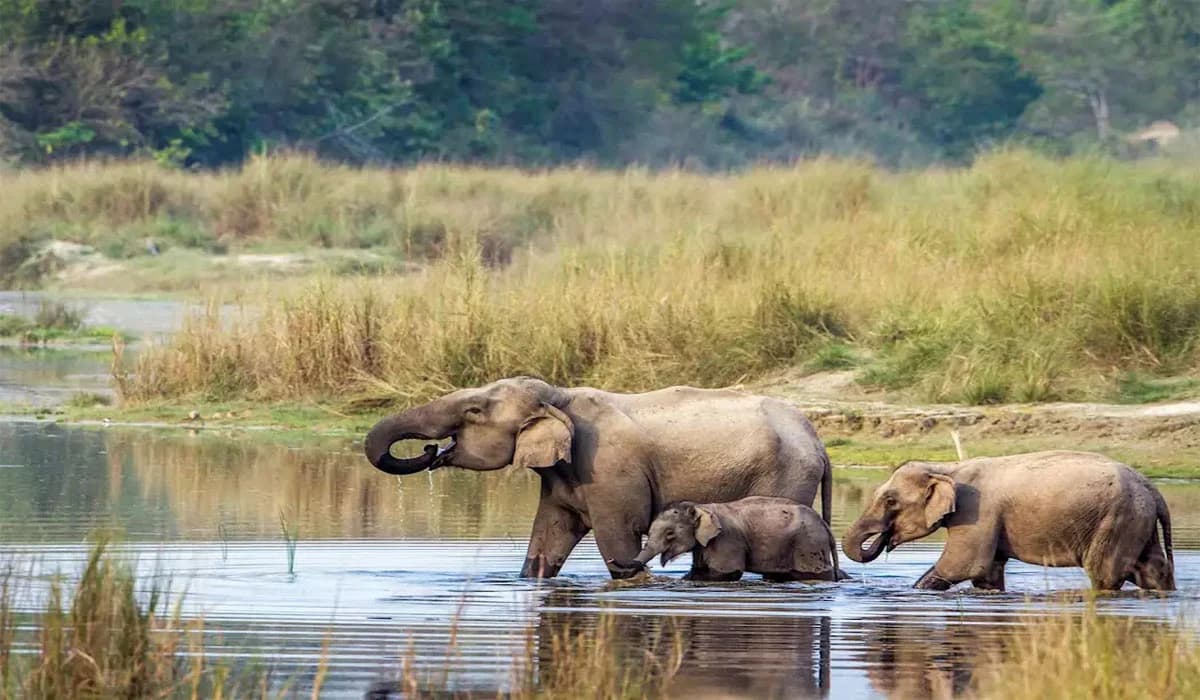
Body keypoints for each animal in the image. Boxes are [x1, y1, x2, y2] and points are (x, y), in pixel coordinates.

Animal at [615, 497, 843, 582]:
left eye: (670, 534)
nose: (610, 559)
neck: (701, 507)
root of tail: (825, 525)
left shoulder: (726, 540)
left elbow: (726, 573)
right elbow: (698, 572)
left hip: (809, 545)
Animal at [842, 451, 1175, 591]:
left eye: (890, 501)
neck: (948, 468)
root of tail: (1154, 490)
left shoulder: (977, 514)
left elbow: (961, 566)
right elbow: (986, 574)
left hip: (1117, 520)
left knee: (1104, 574)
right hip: (1136, 520)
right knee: (1151, 569)